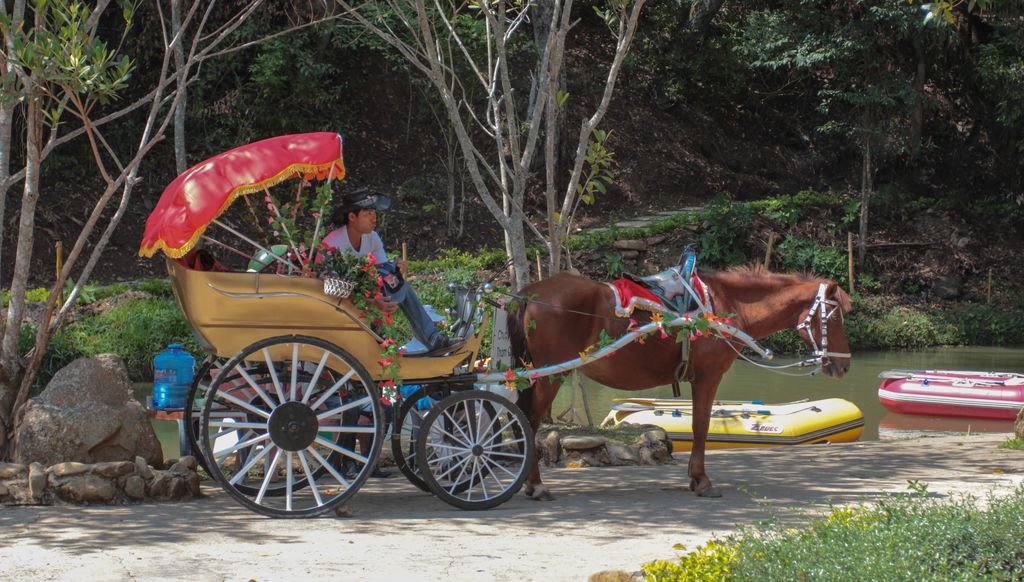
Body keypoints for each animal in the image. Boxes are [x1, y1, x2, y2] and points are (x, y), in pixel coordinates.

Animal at [507, 266, 851, 497]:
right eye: (834, 317)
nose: (844, 364)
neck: (725, 306)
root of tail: (529, 293)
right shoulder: (708, 376)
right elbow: (701, 426)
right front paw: (701, 480)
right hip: (551, 374)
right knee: (530, 421)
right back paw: (535, 485)